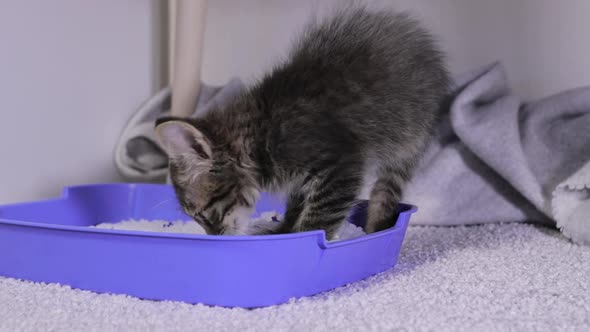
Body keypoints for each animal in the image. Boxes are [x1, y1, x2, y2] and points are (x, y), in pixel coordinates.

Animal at [155, 7, 450, 239]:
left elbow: (319, 217)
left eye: (203, 215)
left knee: (386, 190)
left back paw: (376, 229)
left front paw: (303, 240)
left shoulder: (340, 164)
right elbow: (297, 204)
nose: (214, 237)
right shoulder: (303, 179)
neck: (260, 134)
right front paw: (284, 229)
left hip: (408, 139)